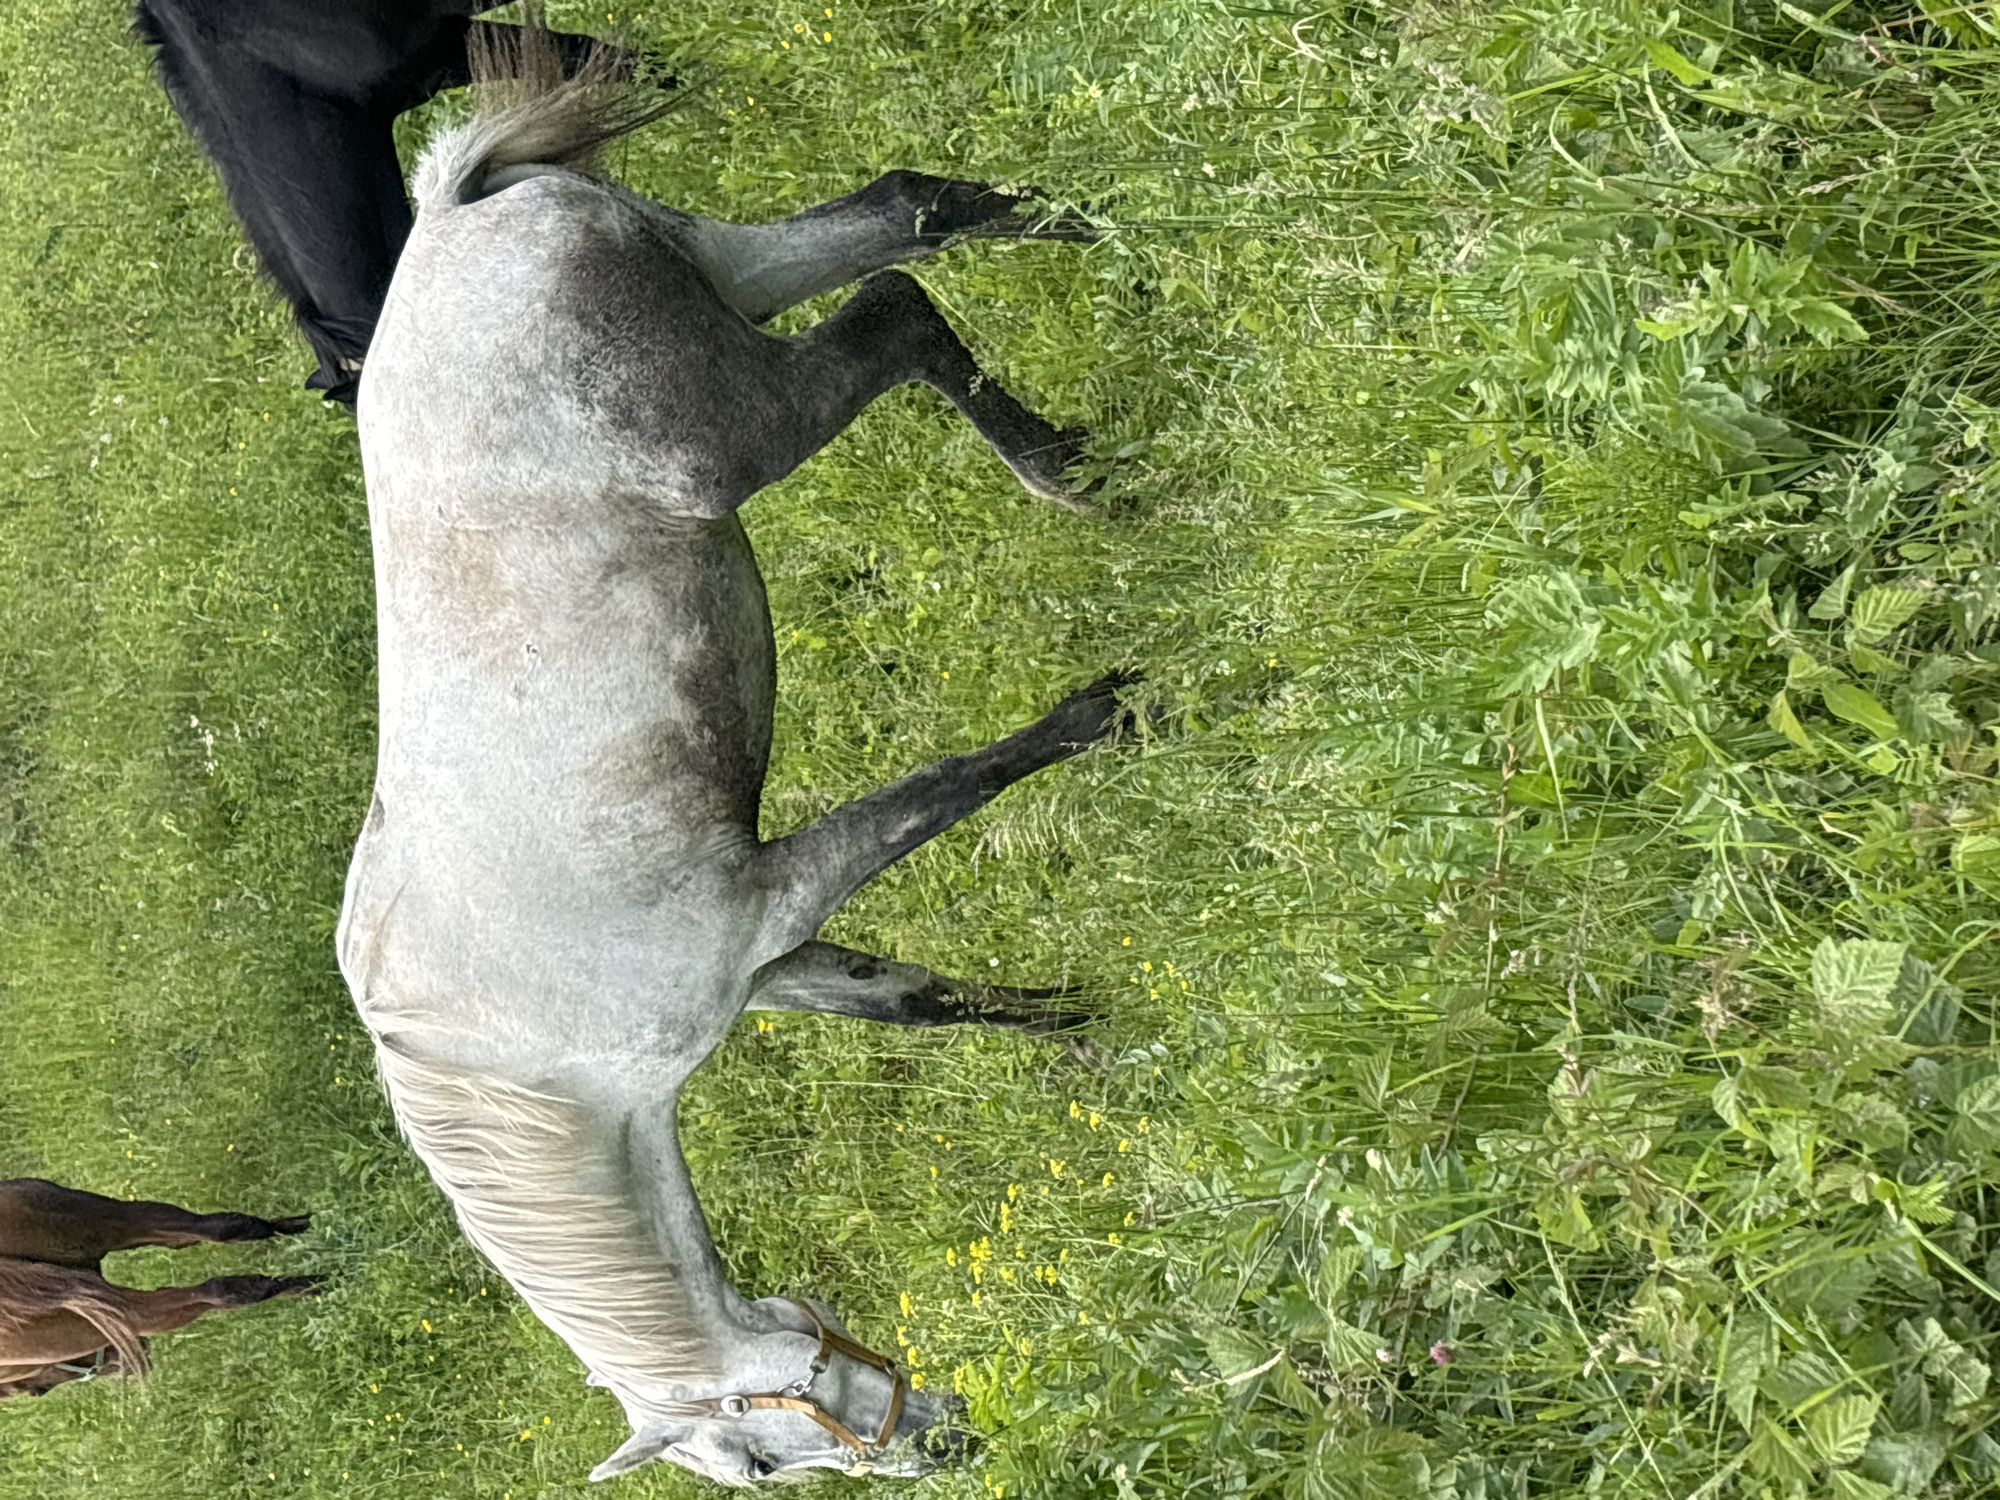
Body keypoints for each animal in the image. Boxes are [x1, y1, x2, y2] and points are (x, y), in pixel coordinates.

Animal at [0, 1178, 316, 1399]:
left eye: (35, 1390)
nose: (119, 1367)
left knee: (220, 1288)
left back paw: (318, 1282)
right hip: (106, 1223)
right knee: (227, 1233)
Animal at [336, 31, 1124, 1487]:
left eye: (754, 1463)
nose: (947, 1447)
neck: (514, 1054)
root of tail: (463, 219)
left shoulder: (768, 897)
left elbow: (954, 786)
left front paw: (1115, 715)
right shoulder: (772, 965)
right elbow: (916, 998)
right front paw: (1081, 1031)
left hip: (747, 415)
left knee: (893, 306)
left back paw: (1060, 467)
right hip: (732, 266)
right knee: (913, 213)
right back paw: (1103, 234)